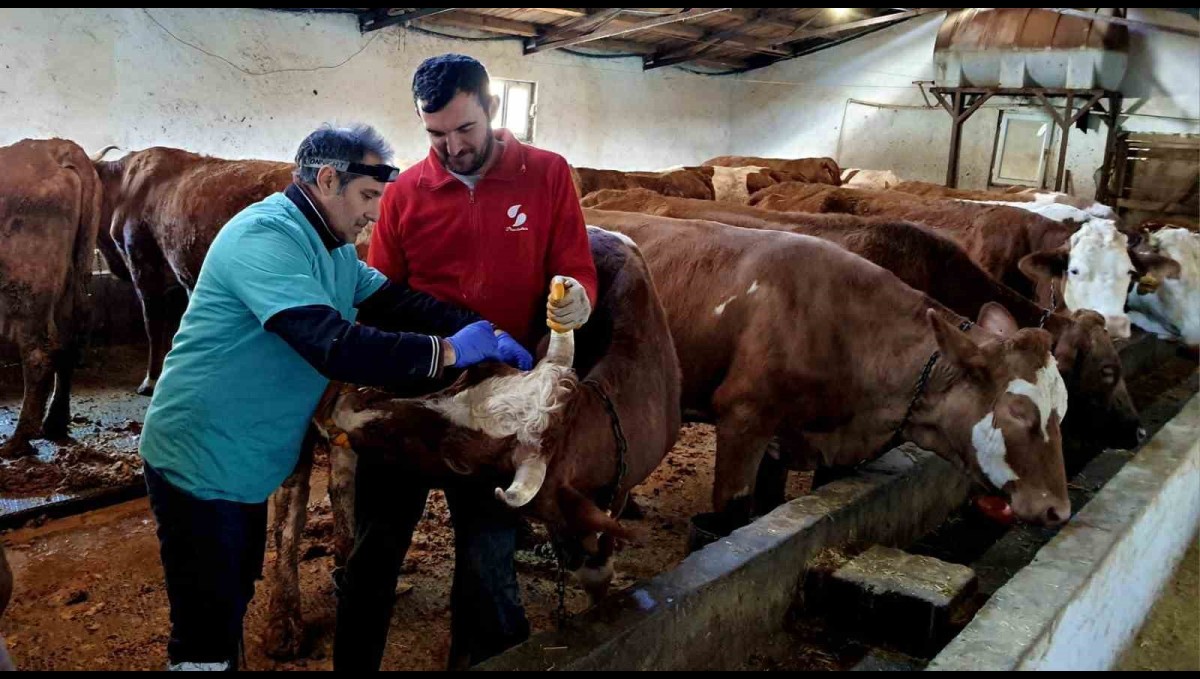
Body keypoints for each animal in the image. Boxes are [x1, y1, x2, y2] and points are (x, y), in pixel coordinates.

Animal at [0, 139, 104, 460]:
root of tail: (57, 149)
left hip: (27, 290)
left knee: (39, 353)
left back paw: (19, 439)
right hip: (74, 280)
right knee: (71, 337)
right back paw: (55, 423)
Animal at [264, 230, 681, 662]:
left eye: (460, 463)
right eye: (473, 372)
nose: (351, 405)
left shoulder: (609, 489)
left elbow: (598, 560)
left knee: (341, 481)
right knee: (291, 501)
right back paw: (286, 620)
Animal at [578, 209, 1070, 530]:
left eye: (1062, 409)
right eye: (1019, 412)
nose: (1058, 510)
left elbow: (771, 500)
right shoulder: (744, 416)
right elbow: (732, 512)